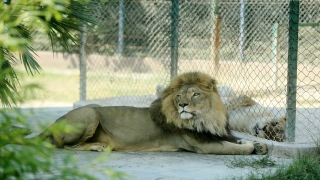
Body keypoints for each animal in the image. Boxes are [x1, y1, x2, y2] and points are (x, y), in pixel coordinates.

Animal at [16, 71, 268, 155]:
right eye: (178, 96)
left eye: (195, 94)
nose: (182, 105)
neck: (207, 116)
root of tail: (53, 123)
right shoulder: (203, 145)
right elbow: (237, 148)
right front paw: (252, 147)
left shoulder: (214, 134)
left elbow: (236, 139)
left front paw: (260, 145)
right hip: (90, 114)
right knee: (65, 147)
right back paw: (97, 146)